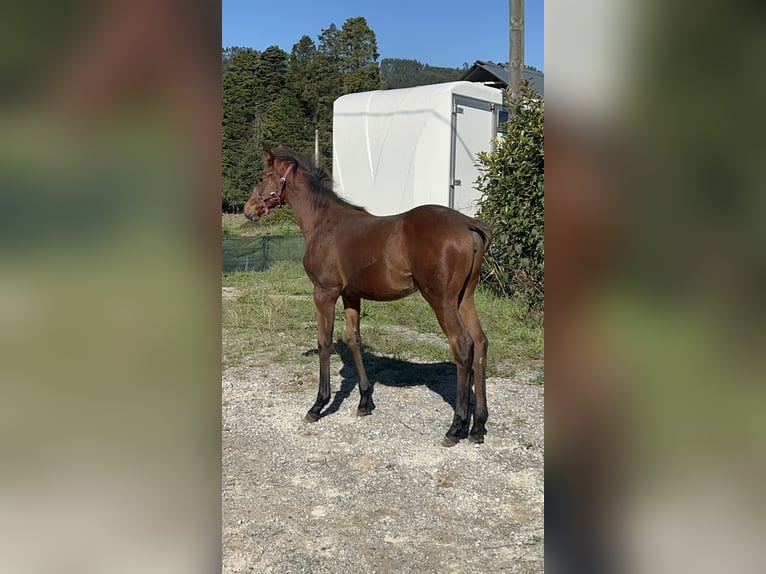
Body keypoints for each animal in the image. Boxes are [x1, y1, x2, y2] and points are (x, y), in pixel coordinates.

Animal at [244, 145, 493, 446]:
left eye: (261, 177)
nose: (247, 210)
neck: (323, 222)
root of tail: (467, 223)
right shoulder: (351, 296)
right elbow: (354, 340)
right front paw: (364, 401)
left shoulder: (324, 293)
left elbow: (324, 343)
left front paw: (318, 405)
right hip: (465, 299)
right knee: (480, 343)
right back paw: (478, 426)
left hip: (442, 301)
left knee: (463, 346)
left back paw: (456, 427)